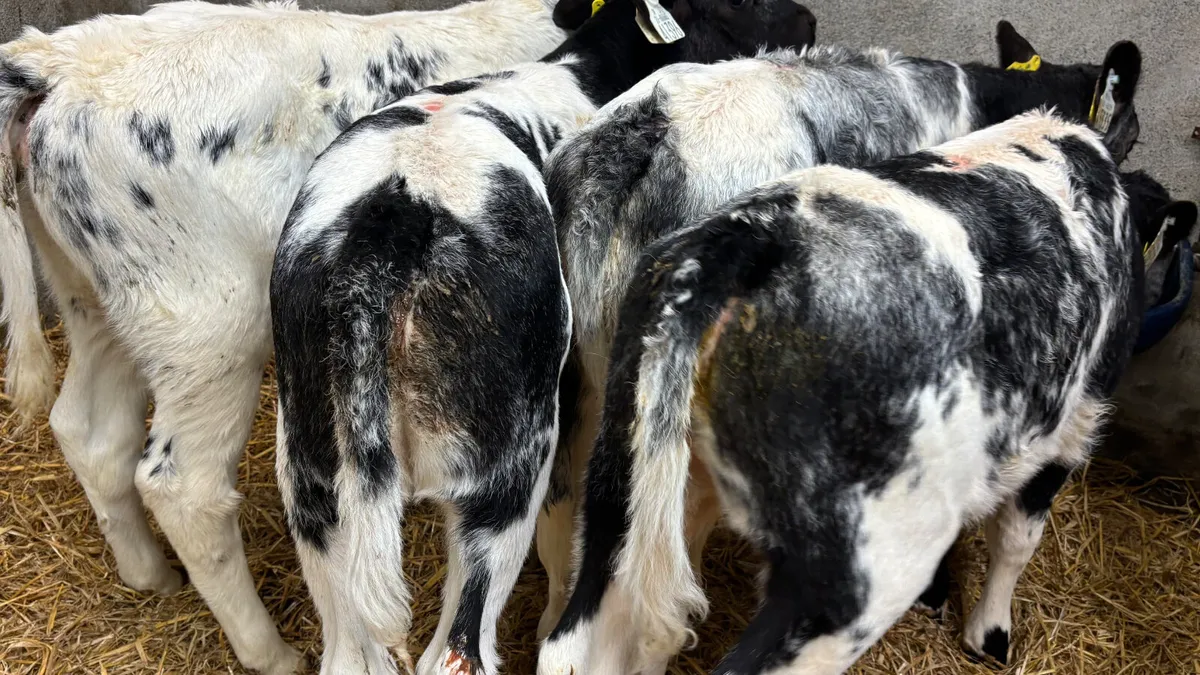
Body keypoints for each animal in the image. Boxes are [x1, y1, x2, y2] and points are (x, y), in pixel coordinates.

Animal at [0, 0, 570, 672]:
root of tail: (57, 64)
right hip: (210, 327)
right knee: (185, 488)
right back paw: (270, 651)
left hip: (93, 301)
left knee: (90, 431)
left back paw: (151, 576)